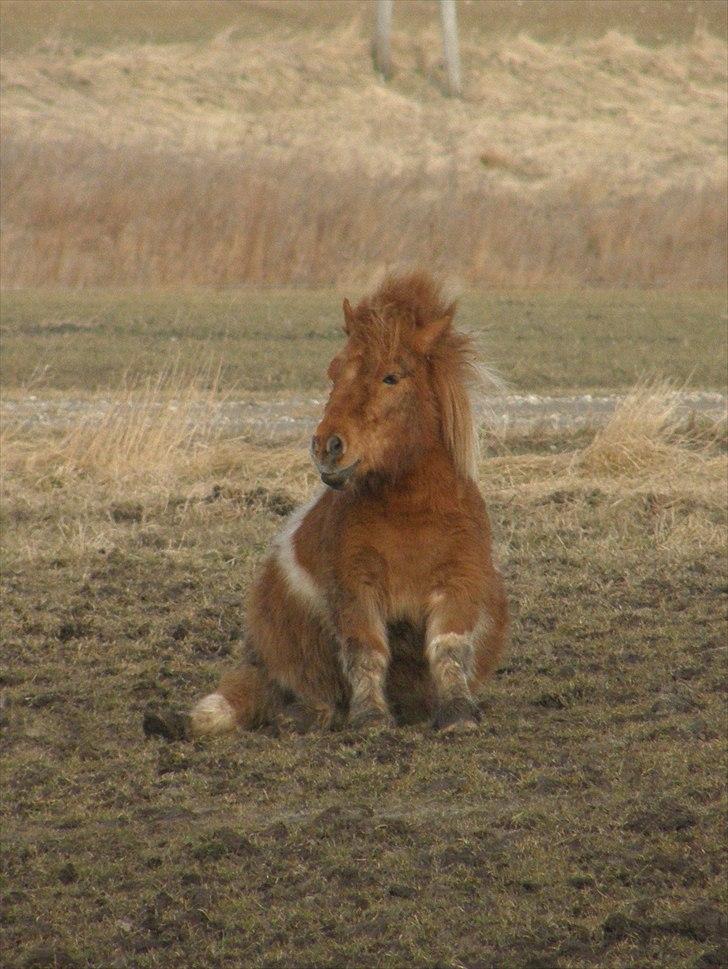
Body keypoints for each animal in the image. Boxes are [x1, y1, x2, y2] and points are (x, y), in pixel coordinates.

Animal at [191, 270, 510, 732]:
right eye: (334, 371)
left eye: (391, 377)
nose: (327, 445)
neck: (413, 513)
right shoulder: (356, 587)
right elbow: (366, 650)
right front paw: (371, 717)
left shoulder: (460, 583)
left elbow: (448, 648)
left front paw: (458, 713)